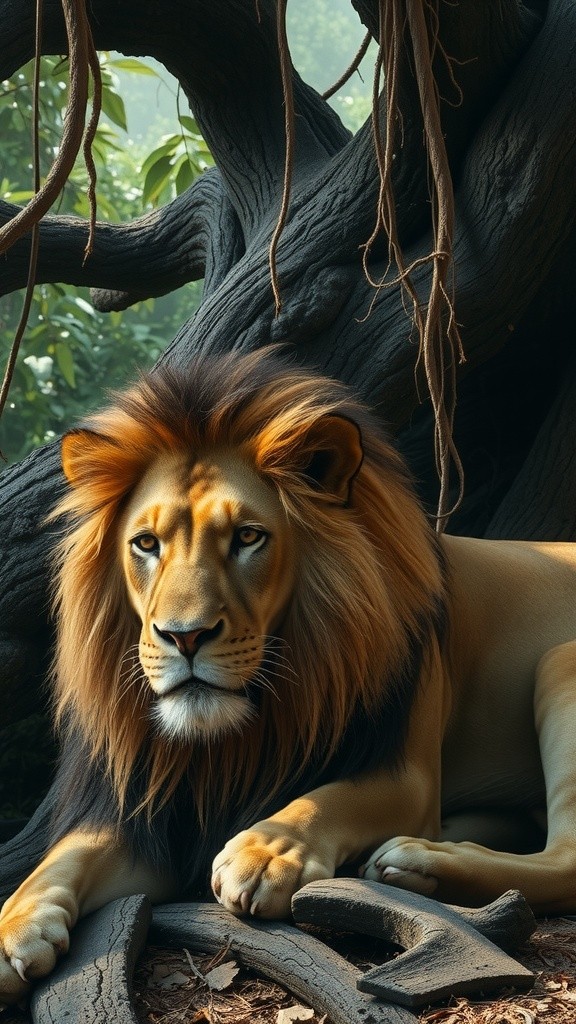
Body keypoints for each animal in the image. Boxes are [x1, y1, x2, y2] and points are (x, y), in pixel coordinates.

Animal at [0, 346, 575, 1004]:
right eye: (145, 544)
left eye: (248, 537)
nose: (184, 636)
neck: (235, 737)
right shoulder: (153, 810)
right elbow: (62, 856)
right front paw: (14, 925)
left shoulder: (406, 773)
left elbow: (326, 799)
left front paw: (266, 853)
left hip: (560, 661)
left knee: (566, 860)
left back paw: (417, 860)